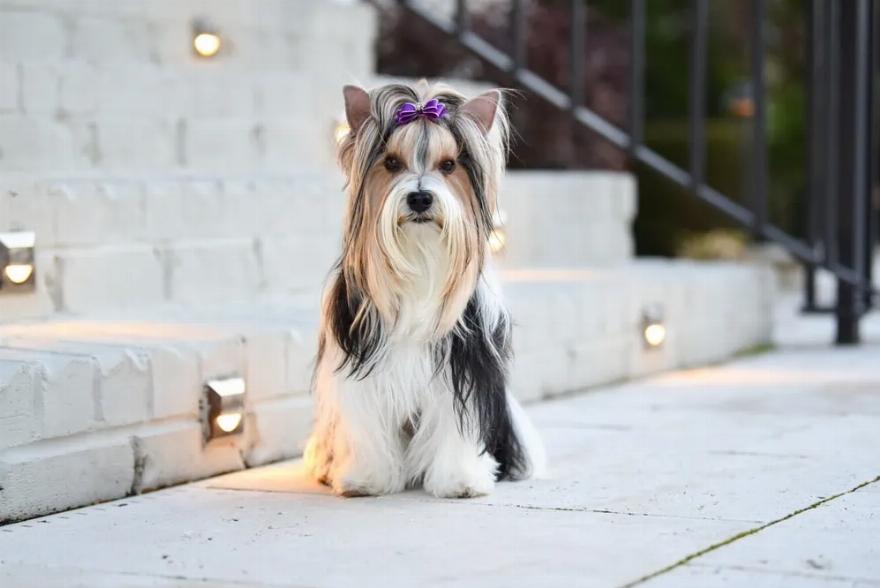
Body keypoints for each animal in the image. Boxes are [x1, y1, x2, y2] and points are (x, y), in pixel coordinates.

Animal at [304, 82, 546, 498]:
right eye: (391, 163)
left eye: (448, 165)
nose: (419, 197)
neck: (421, 259)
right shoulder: (364, 367)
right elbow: (367, 425)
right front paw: (367, 479)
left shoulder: (461, 369)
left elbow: (455, 424)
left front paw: (460, 481)